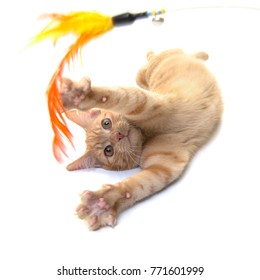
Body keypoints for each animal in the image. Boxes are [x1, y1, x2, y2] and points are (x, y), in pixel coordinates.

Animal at [60, 49, 222, 231]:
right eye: (109, 150)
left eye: (106, 123)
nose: (119, 135)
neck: (147, 134)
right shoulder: (163, 167)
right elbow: (136, 185)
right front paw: (104, 202)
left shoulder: (145, 102)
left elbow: (116, 96)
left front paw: (79, 96)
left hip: (149, 71)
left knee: (174, 54)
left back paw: (197, 55)